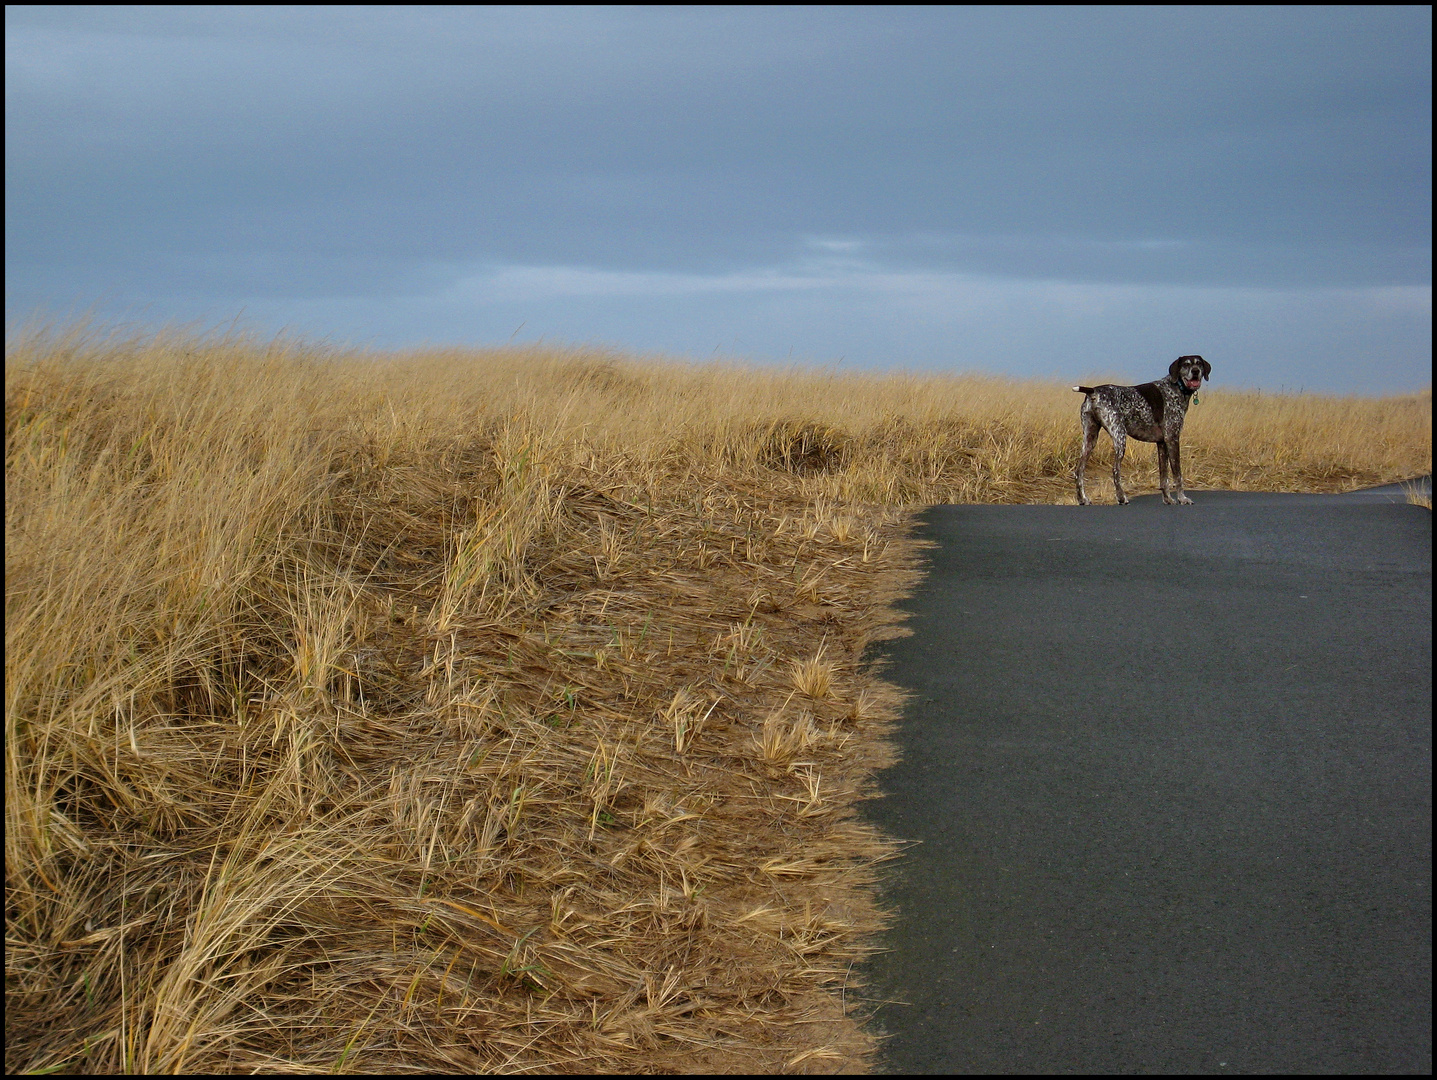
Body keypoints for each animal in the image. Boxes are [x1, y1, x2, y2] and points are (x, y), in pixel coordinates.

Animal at [1074, 354, 1207, 505]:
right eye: (1186, 364)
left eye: (1199, 364)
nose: (1196, 371)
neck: (1176, 388)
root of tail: (1093, 391)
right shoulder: (1172, 439)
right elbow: (1177, 474)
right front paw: (1182, 498)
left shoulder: (1162, 443)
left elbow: (1164, 476)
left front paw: (1168, 499)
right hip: (1120, 436)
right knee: (1115, 470)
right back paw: (1121, 497)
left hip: (1089, 440)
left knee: (1079, 471)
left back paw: (1083, 499)